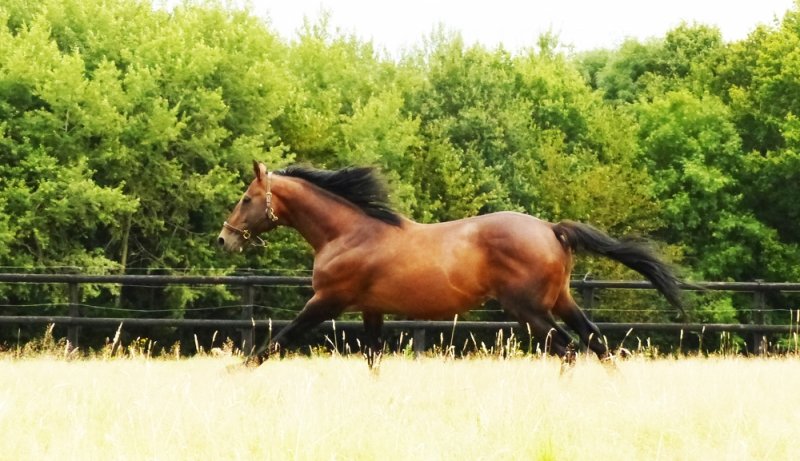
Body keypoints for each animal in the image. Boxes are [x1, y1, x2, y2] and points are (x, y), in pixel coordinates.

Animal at [217, 161, 684, 365]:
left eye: (246, 198)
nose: (225, 238)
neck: (347, 233)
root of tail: (552, 229)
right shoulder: (371, 309)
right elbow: (373, 358)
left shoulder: (326, 301)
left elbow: (273, 344)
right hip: (561, 301)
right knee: (597, 342)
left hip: (529, 310)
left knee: (568, 349)